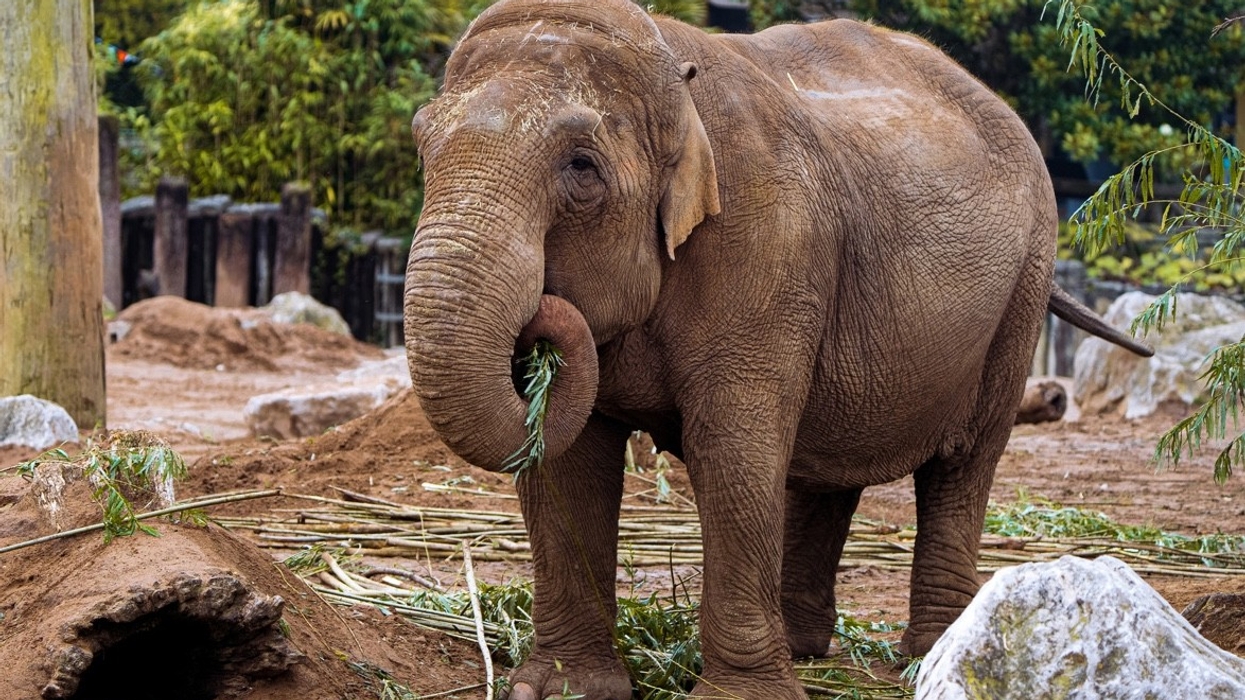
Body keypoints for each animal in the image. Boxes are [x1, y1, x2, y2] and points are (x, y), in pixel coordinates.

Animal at [403, 1, 1153, 698]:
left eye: (582, 167)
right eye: (422, 150)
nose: (542, 314)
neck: (673, 78)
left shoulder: (767, 241)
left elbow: (731, 449)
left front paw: (735, 696)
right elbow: (567, 461)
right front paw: (562, 689)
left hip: (1024, 283)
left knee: (963, 461)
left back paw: (930, 654)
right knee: (829, 463)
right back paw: (803, 646)